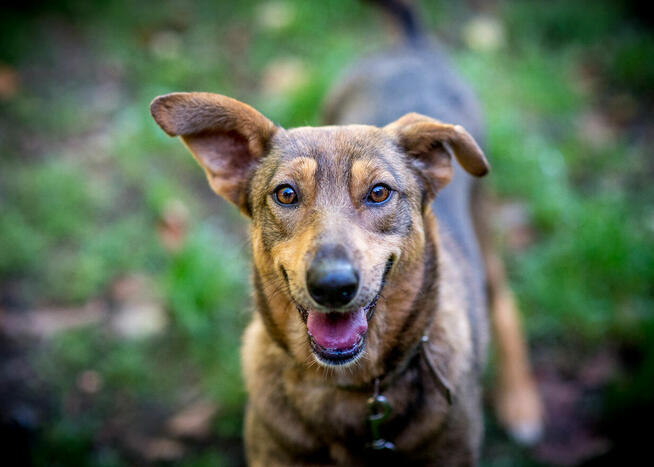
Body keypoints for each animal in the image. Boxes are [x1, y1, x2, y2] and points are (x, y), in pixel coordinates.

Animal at [150, 2, 544, 464]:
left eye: (379, 192)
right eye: (286, 194)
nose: (332, 286)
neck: (346, 388)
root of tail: (409, 47)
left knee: (504, 301)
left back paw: (521, 403)